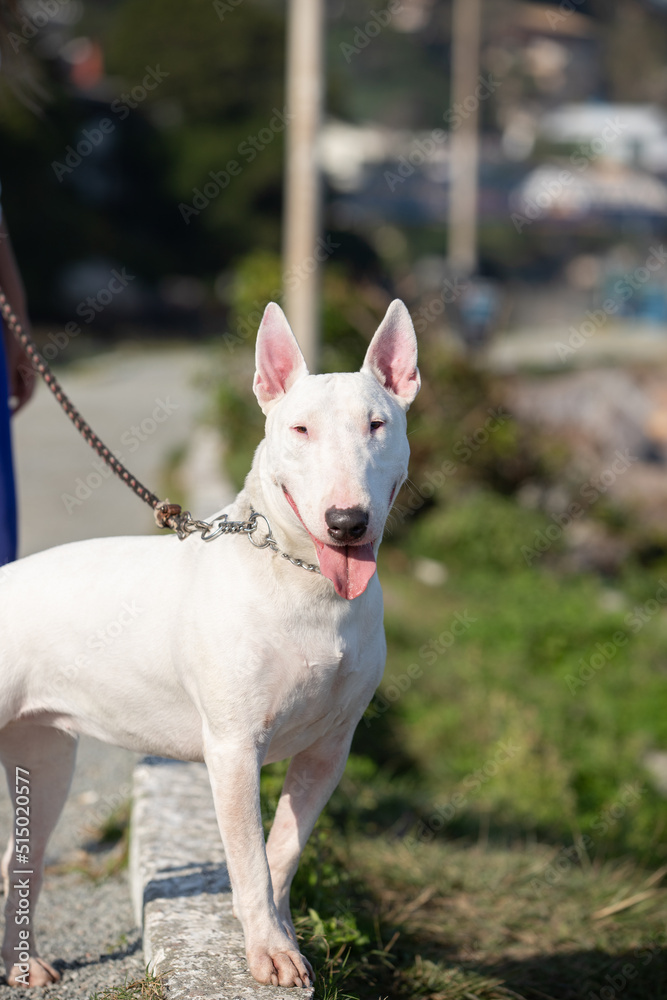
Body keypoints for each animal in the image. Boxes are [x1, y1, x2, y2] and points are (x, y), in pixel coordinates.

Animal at [0, 296, 418, 984]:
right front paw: (269, 951)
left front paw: (277, 939)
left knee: (21, 854)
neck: (301, 577)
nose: (346, 523)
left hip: (46, 754)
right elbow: (249, 860)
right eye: (300, 430)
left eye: (378, 424)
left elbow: (281, 852)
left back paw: (24, 965)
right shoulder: (233, 747)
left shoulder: (330, 749)